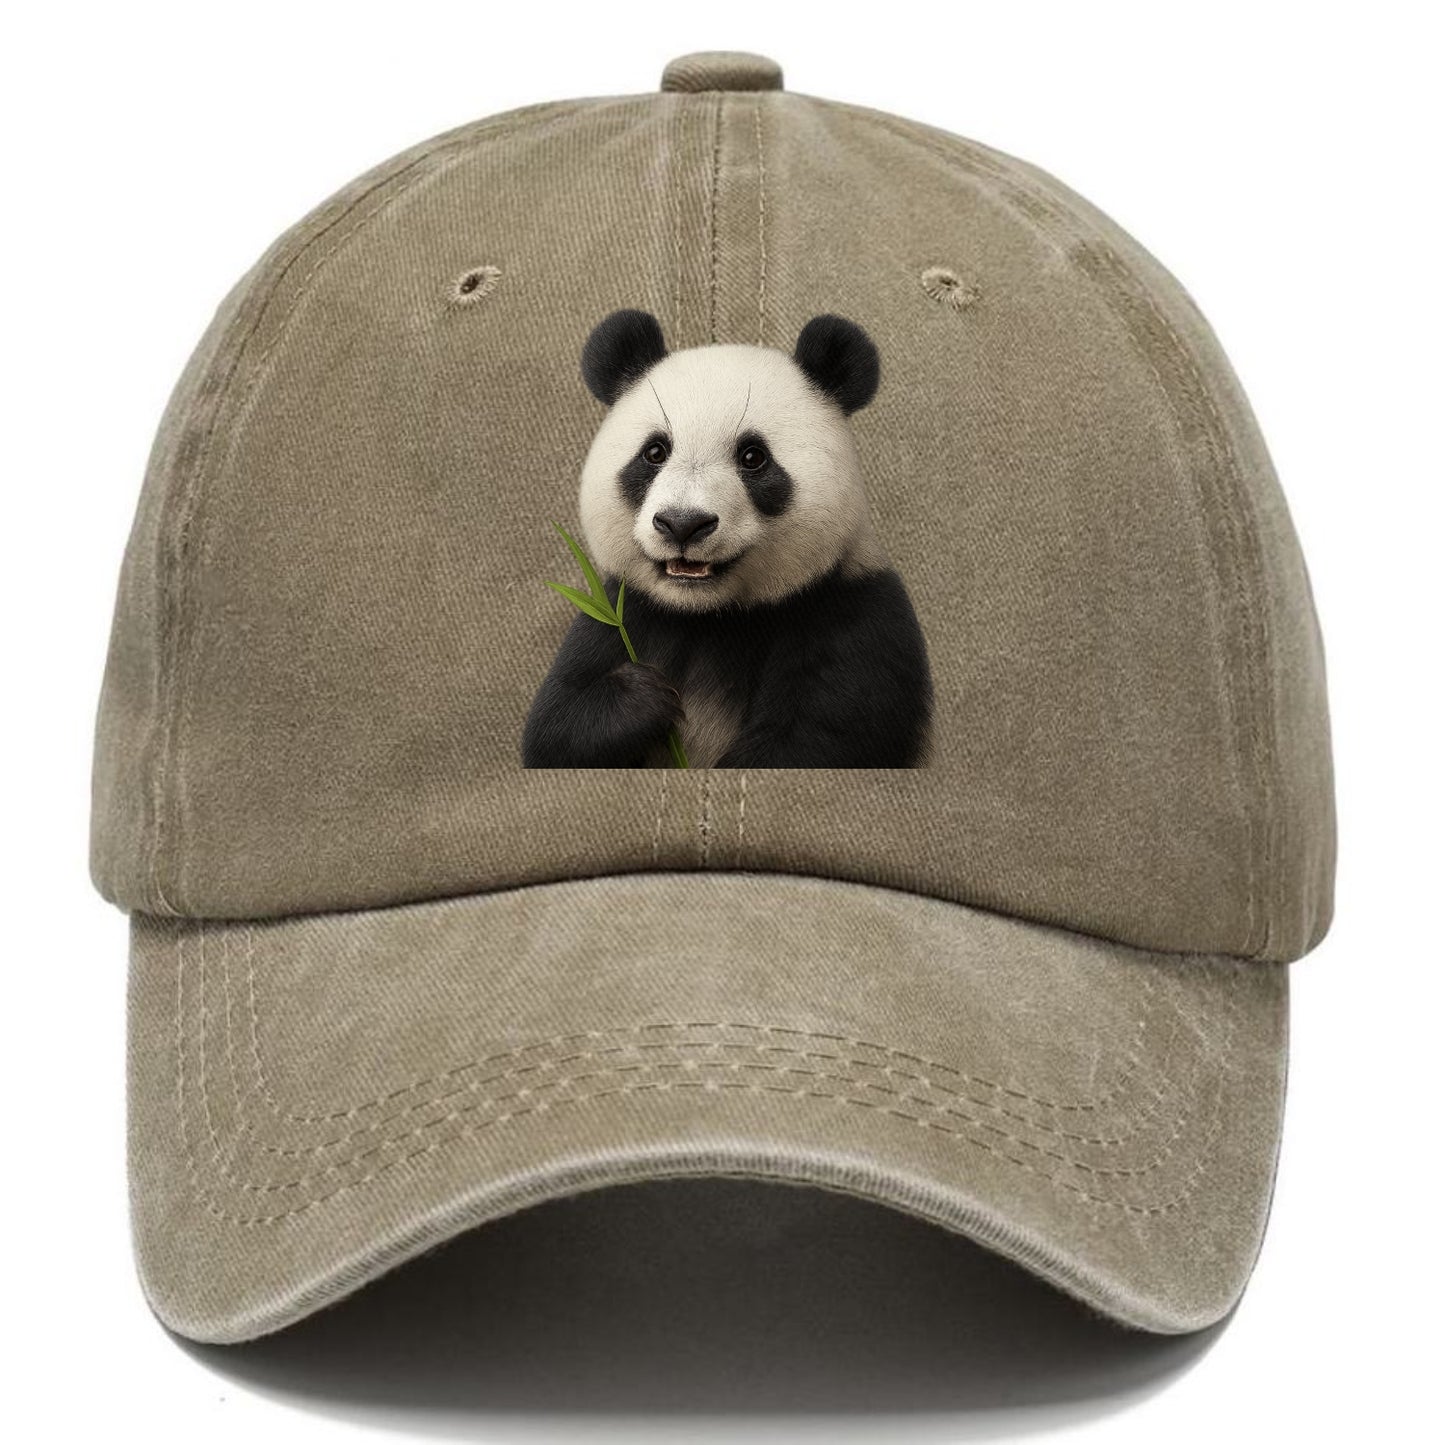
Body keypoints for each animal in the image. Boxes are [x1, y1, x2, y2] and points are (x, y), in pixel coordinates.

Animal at [521, 309, 934, 768]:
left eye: (753, 457)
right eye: (655, 452)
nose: (683, 523)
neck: (711, 616)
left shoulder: (853, 617)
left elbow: (812, 742)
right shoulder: (623, 613)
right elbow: (555, 728)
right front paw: (643, 697)